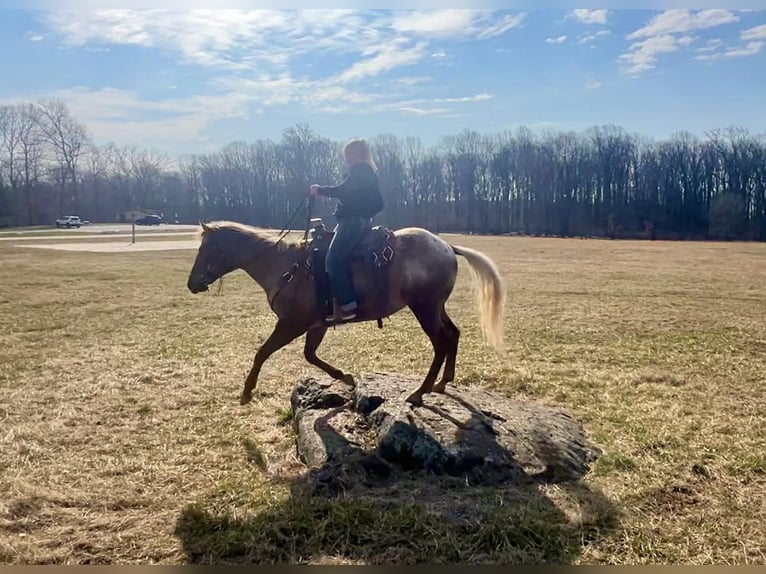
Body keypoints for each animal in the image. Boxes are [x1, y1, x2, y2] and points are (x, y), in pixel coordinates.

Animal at [186, 219, 506, 407]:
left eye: (204, 249)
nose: (192, 284)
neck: (285, 266)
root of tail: (446, 246)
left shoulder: (291, 324)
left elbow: (262, 353)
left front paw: (247, 391)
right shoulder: (316, 325)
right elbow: (310, 355)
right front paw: (345, 377)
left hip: (424, 308)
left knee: (440, 343)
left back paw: (420, 391)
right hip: (436, 306)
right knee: (453, 334)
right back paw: (441, 383)